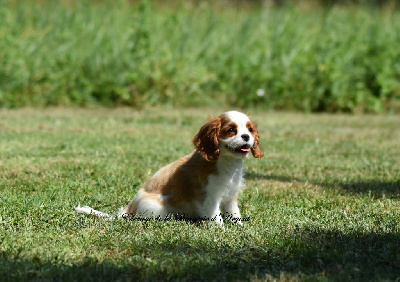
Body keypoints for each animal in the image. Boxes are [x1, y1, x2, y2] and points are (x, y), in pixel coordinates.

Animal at [75, 111, 264, 226]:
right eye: (231, 130)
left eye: (250, 130)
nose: (246, 137)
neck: (227, 162)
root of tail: (128, 209)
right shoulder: (210, 196)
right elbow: (215, 215)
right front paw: (221, 230)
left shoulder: (230, 195)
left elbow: (234, 213)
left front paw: (239, 226)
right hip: (156, 208)